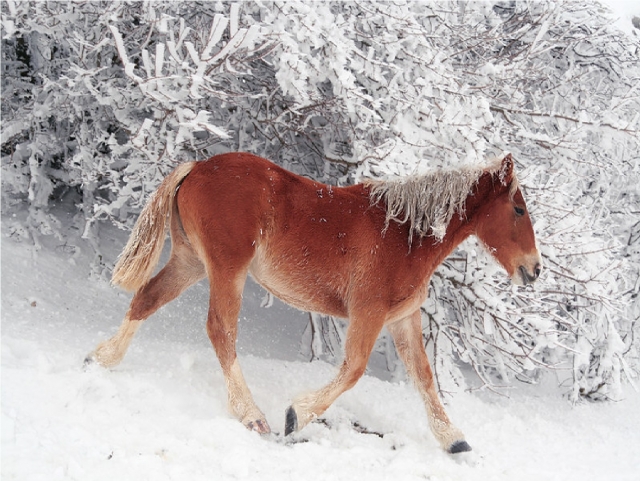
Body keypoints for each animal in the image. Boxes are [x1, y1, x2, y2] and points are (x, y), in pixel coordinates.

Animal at [86, 152, 541, 454]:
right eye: (518, 209)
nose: (534, 269)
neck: (405, 236)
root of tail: (196, 167)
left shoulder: (403, 318)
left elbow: (425, 379)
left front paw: (455, 440)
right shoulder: (369, 313)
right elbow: (353, 369)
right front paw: (295, 416)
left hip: (190, 262)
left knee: (146, 299)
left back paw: (101, 358)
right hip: (226, 268)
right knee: (221, 330)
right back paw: (252, 415)